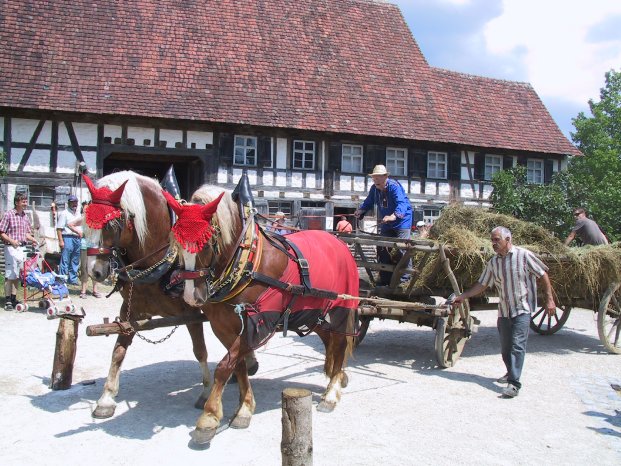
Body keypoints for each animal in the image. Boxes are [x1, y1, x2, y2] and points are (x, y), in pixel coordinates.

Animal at [81, 171, 246, 418]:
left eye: (111, 223)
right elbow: (118, 350)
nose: (95, 271)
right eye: (86, 221)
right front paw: (107, 397)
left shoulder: (192, 312)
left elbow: (200, 351)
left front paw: (206, 392)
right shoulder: (130, 311)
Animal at [165, 181, 358, 444]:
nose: (191, 296)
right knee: (329, 343)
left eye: (207, 240)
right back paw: (334, 377)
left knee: (339, 345)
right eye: (176, 242)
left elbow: (224, 366)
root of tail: (339, 243)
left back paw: (331, 392)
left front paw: (209, 417)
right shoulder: (223, 326)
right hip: (315, 313)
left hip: (340, 310)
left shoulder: (259, 324)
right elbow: (237, 366)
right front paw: (244, 409)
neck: (248, 262)